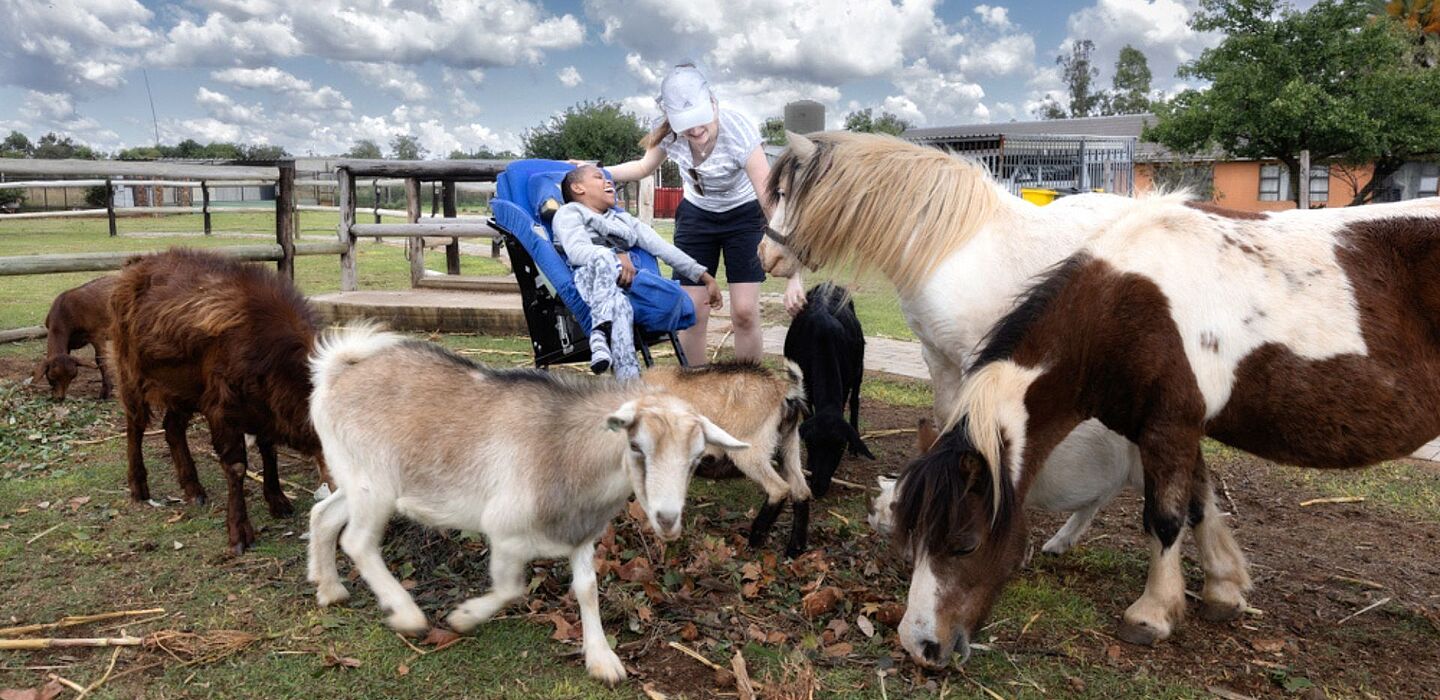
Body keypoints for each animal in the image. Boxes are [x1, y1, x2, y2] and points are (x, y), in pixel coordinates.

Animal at [112, 249, 326, 555]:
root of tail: (135, 265)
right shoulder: (222, 408)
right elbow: (236, 466)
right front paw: (239, 533)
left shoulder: (262, 409)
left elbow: (269, 451)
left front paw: (278, 500)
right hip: (130, 370)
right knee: (135, 425)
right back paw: (139, 487)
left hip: (183, 389)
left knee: (172, 427)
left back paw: (194, 489)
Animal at [308, 328, 748, 682]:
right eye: (637, 446)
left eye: (697, 458)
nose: (668, 520)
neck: (564, 449)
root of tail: (339, 371)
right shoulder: (505, 530)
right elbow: (510, 588)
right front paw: (462, 618)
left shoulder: (579, 532)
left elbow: (587, 589)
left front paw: (603, 659)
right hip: (374, 483)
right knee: (358, 541)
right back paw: (407, 615)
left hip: (356, 479)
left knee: (324, 515)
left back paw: (329, 588)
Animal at [783, 279, 869, 498]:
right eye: (810, 443)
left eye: (839, 447)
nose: (818, 487)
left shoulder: (846, 382)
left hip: (859, 368)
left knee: (855, 400)